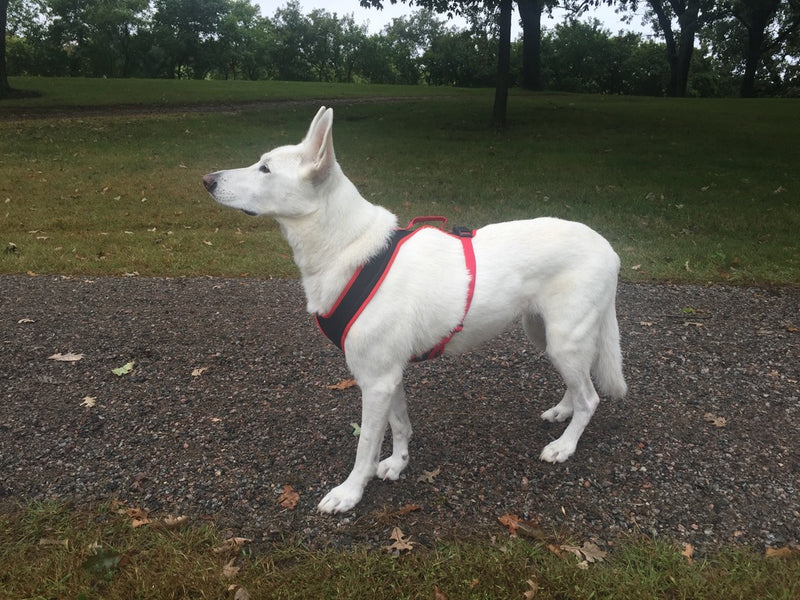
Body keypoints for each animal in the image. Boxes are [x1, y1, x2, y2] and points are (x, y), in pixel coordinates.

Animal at [203, 105, 628, 512]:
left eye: (265, 168)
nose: (207, 180)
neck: (348, 246)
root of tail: (609, 248)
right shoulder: (387, 375)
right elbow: (400, 425)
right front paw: (397, 463)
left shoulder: (375, 380)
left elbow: (365, 446)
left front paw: (350, 492)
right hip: (545, 334)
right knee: (580, 384)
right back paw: (562, 411)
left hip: (564, 338)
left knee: (590, 398)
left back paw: (565, 445)